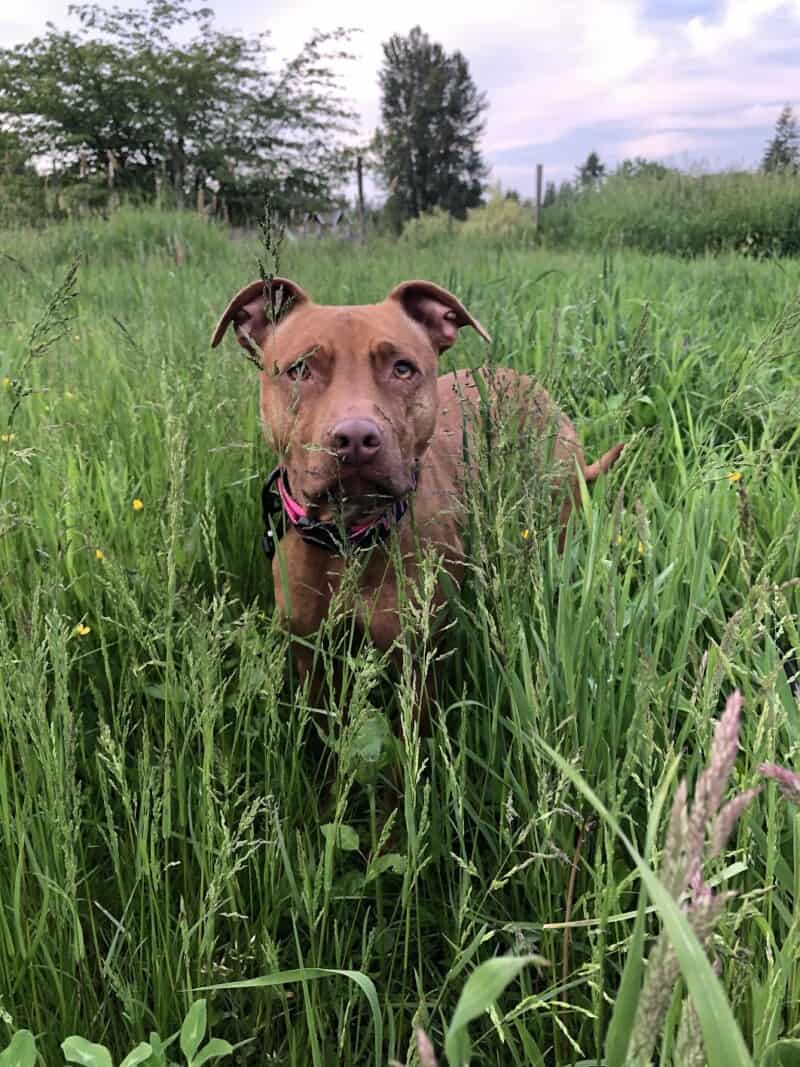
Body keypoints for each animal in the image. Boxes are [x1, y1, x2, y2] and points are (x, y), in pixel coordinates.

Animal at [210, 275, 622, 691]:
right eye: (299, 370)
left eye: (403, 369)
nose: (356, 439)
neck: (350, 537)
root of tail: (534, 388)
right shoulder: (309, 653)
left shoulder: (418, 656)